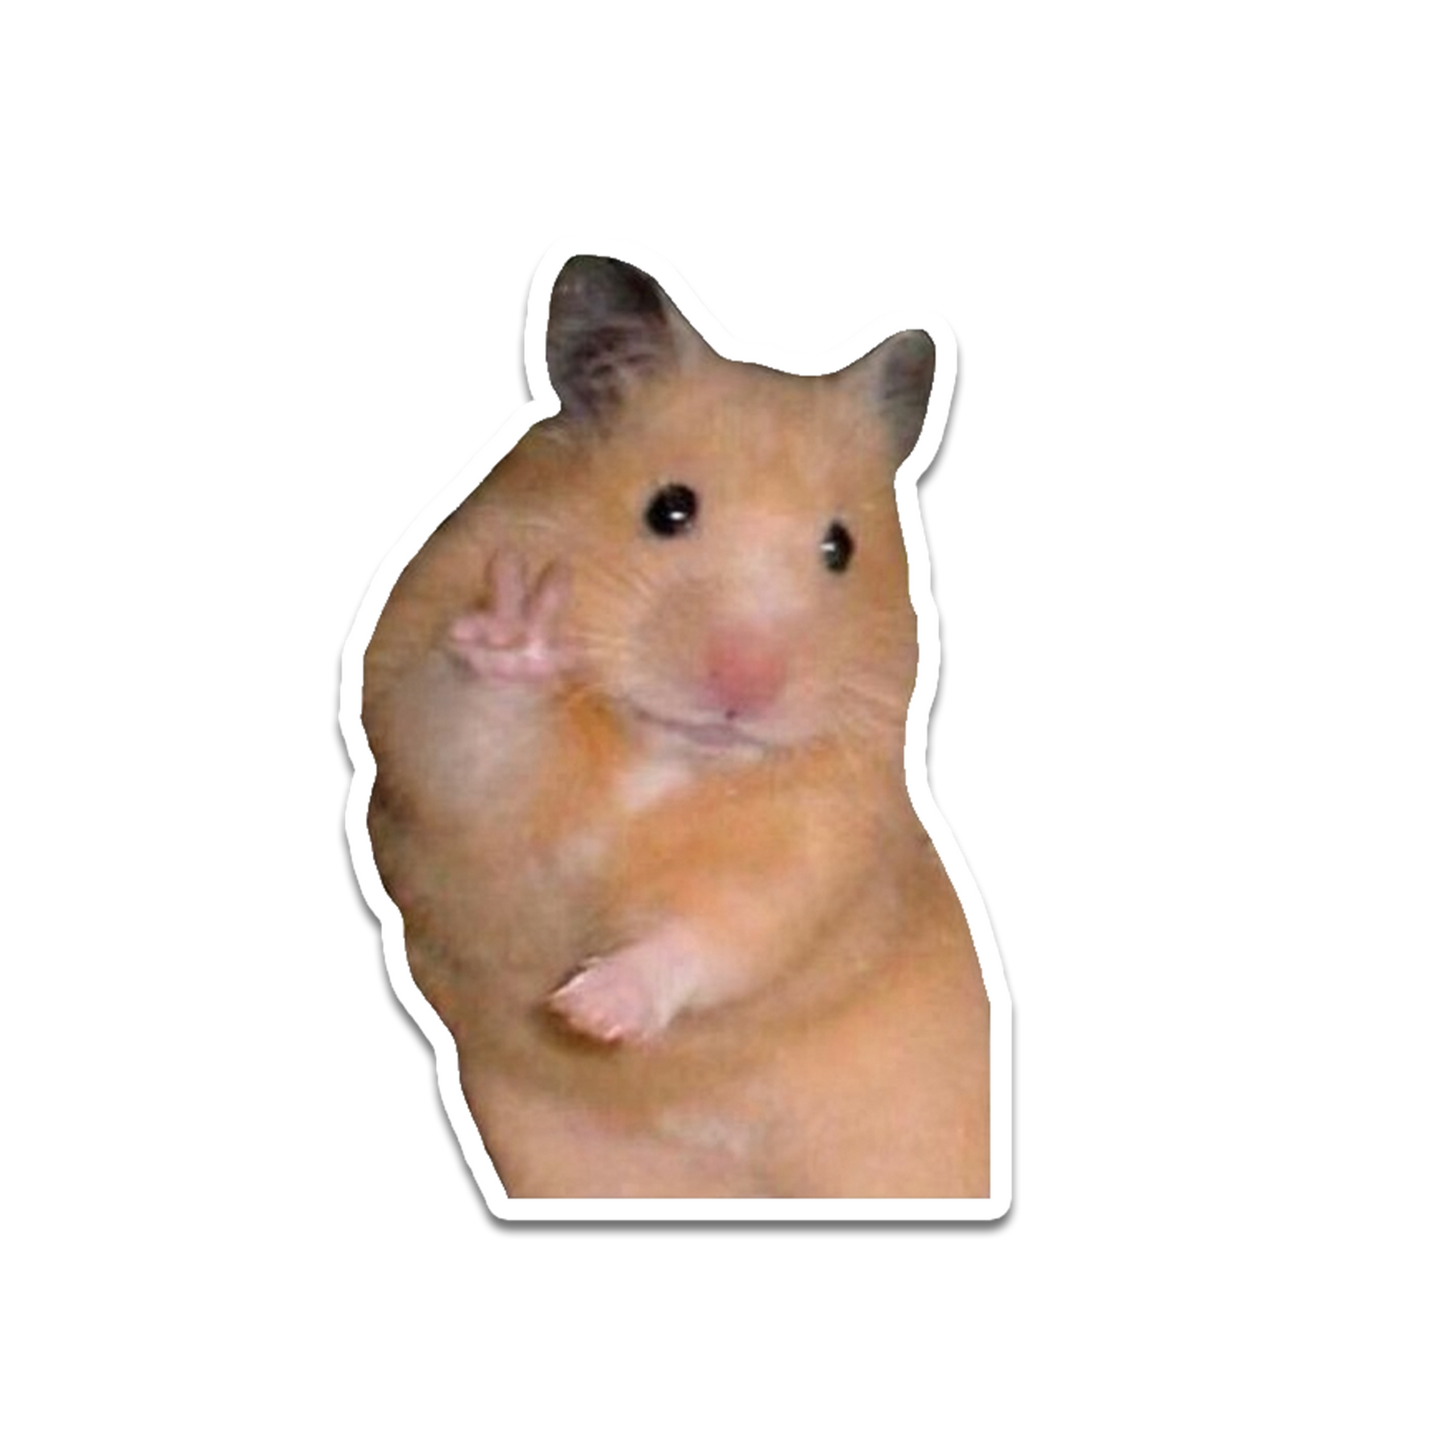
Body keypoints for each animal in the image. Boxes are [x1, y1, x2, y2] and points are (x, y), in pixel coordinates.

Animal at [362, 256, 989, 1197]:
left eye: (839, 548)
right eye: (668, 508)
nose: (744, 687)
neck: (665, 754)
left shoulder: (818, 843)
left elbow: (721, 930)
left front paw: (588, 1011)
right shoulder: (430, 755)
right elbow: (473, 740)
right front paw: (520, 629)